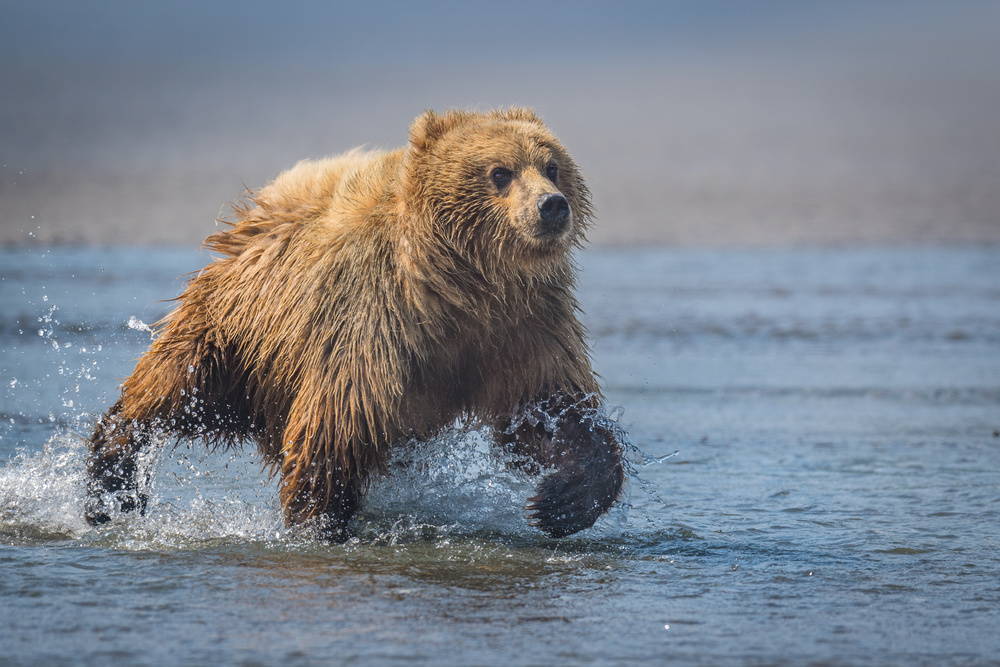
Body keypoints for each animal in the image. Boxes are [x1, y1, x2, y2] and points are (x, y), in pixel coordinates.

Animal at [88, 108, 632, 536]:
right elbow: (337, 426)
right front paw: (319, 524)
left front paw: (561, 501)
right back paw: (109, 484)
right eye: (500, 172)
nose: (551, 205)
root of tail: (257, 211)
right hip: (237, 332)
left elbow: (550, 411)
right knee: (172, 390)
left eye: (552, 165)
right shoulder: (374, 318)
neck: (460, 287)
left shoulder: (521, 326)